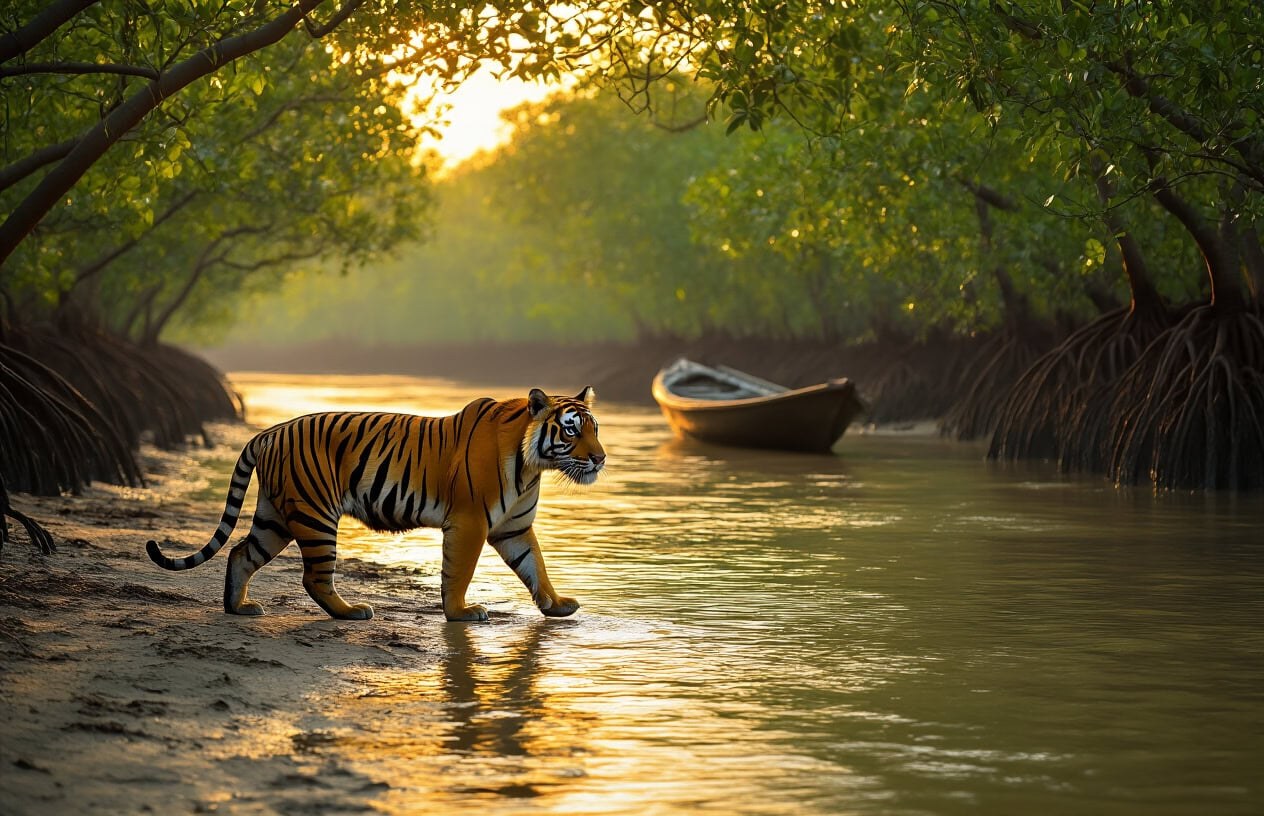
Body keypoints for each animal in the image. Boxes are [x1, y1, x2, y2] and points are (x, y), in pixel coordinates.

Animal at [146, 387, 604, 622]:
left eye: (595, 428)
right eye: (571, 430)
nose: (600, 458)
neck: (532, 465)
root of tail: (269, 432)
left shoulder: (514, 527)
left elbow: (536, 566)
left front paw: (556, 605)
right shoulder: (470, 522)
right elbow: (459, 572)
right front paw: (460, 613)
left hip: (275, 517)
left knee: (241, 553)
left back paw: (238, 607)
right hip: (315, 515)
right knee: (313, 578)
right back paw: (351, 612)